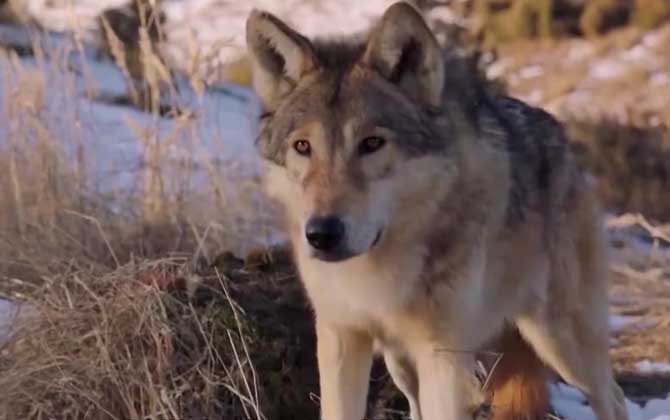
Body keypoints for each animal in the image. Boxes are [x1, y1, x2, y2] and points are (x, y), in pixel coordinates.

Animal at [245, 3, 632, 420]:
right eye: (302, 146)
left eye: (372, 143)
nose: (321, 234)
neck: (376, 272)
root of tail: (561, 138)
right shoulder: (342, 338)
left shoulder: (443, 357)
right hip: (402, 365)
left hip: (560, 340)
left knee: (612, 396)